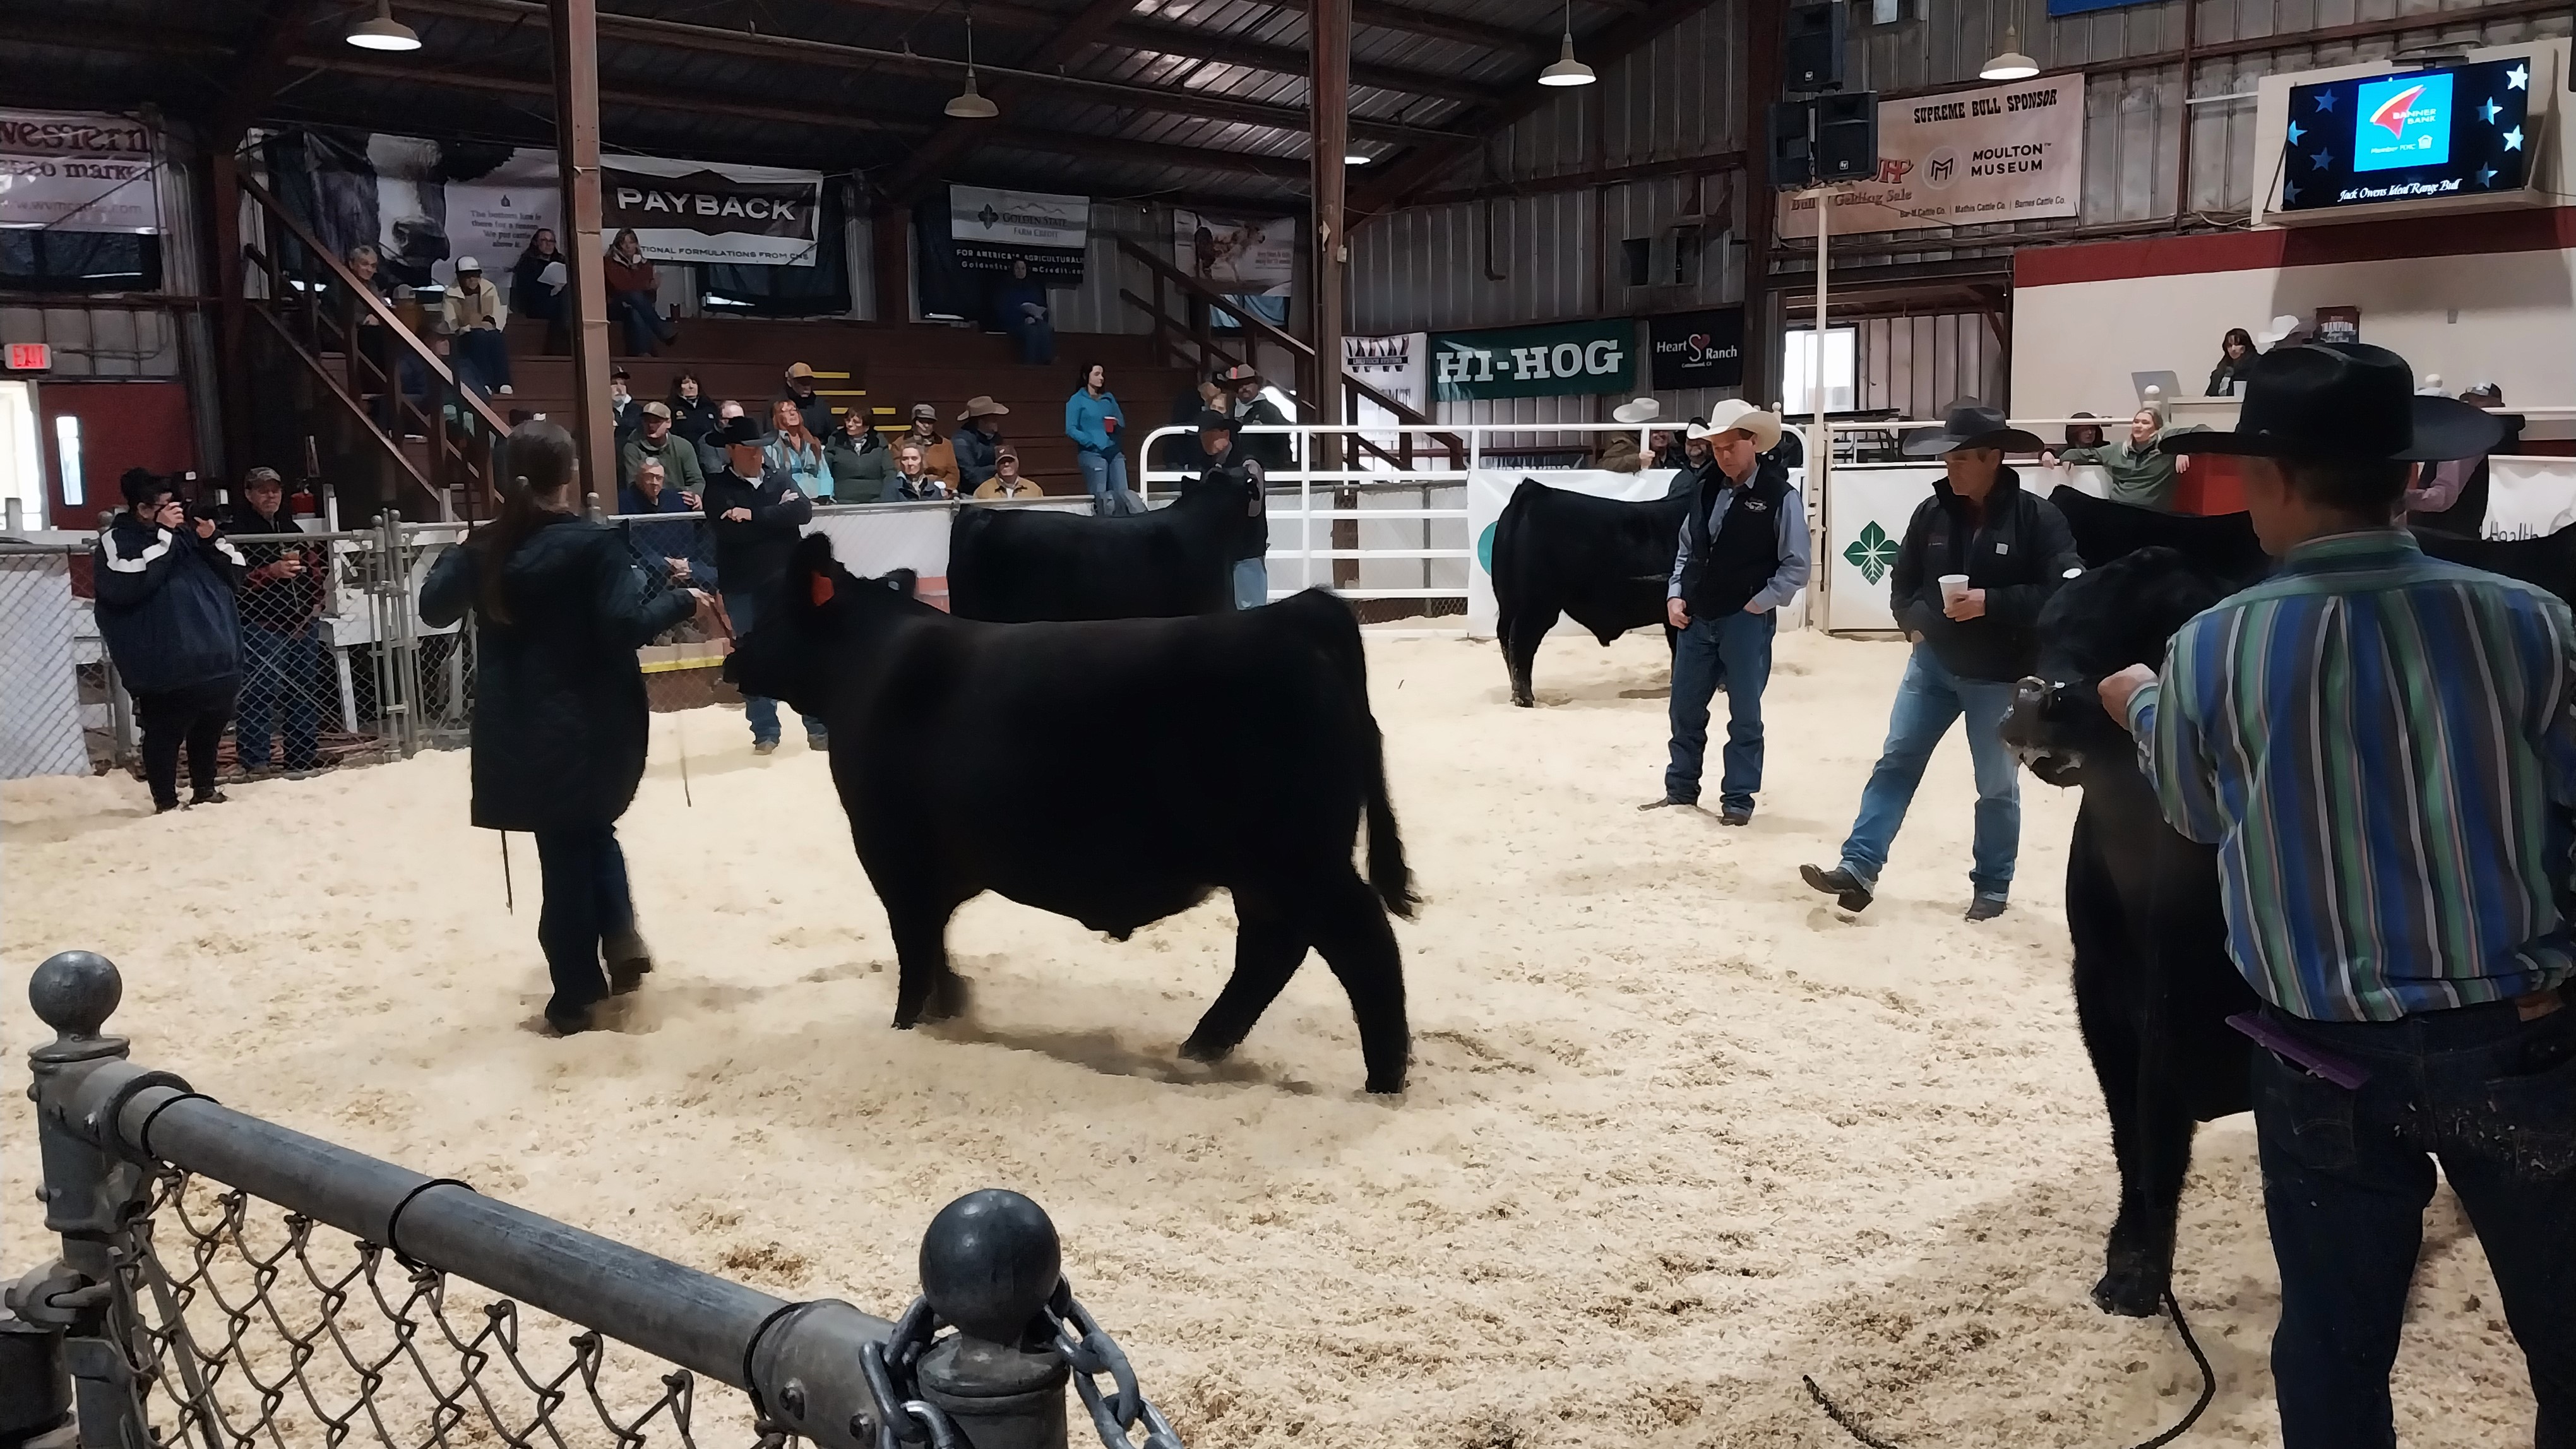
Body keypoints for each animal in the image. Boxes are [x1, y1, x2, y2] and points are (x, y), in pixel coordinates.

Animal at [724, 534, 1419, 1093]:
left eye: (775, 610)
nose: (733, 658)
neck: (870, 664)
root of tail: (1294, 616)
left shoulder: (892, 852)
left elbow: (915, 946)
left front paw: (907, 1025)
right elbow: (937, 944)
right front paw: (953, 1011)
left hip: (1300, 859)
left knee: (1361, 944)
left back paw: (1382, 1080)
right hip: (1266, 870)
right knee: (1272, 949)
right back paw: (1199, 1048)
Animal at [1492, 479, 1690, 707]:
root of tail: (1533, 491)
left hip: (1509, 602)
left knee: (1507, 639)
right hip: (1537, 604)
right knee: (1521, 641)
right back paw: (1524, 700)